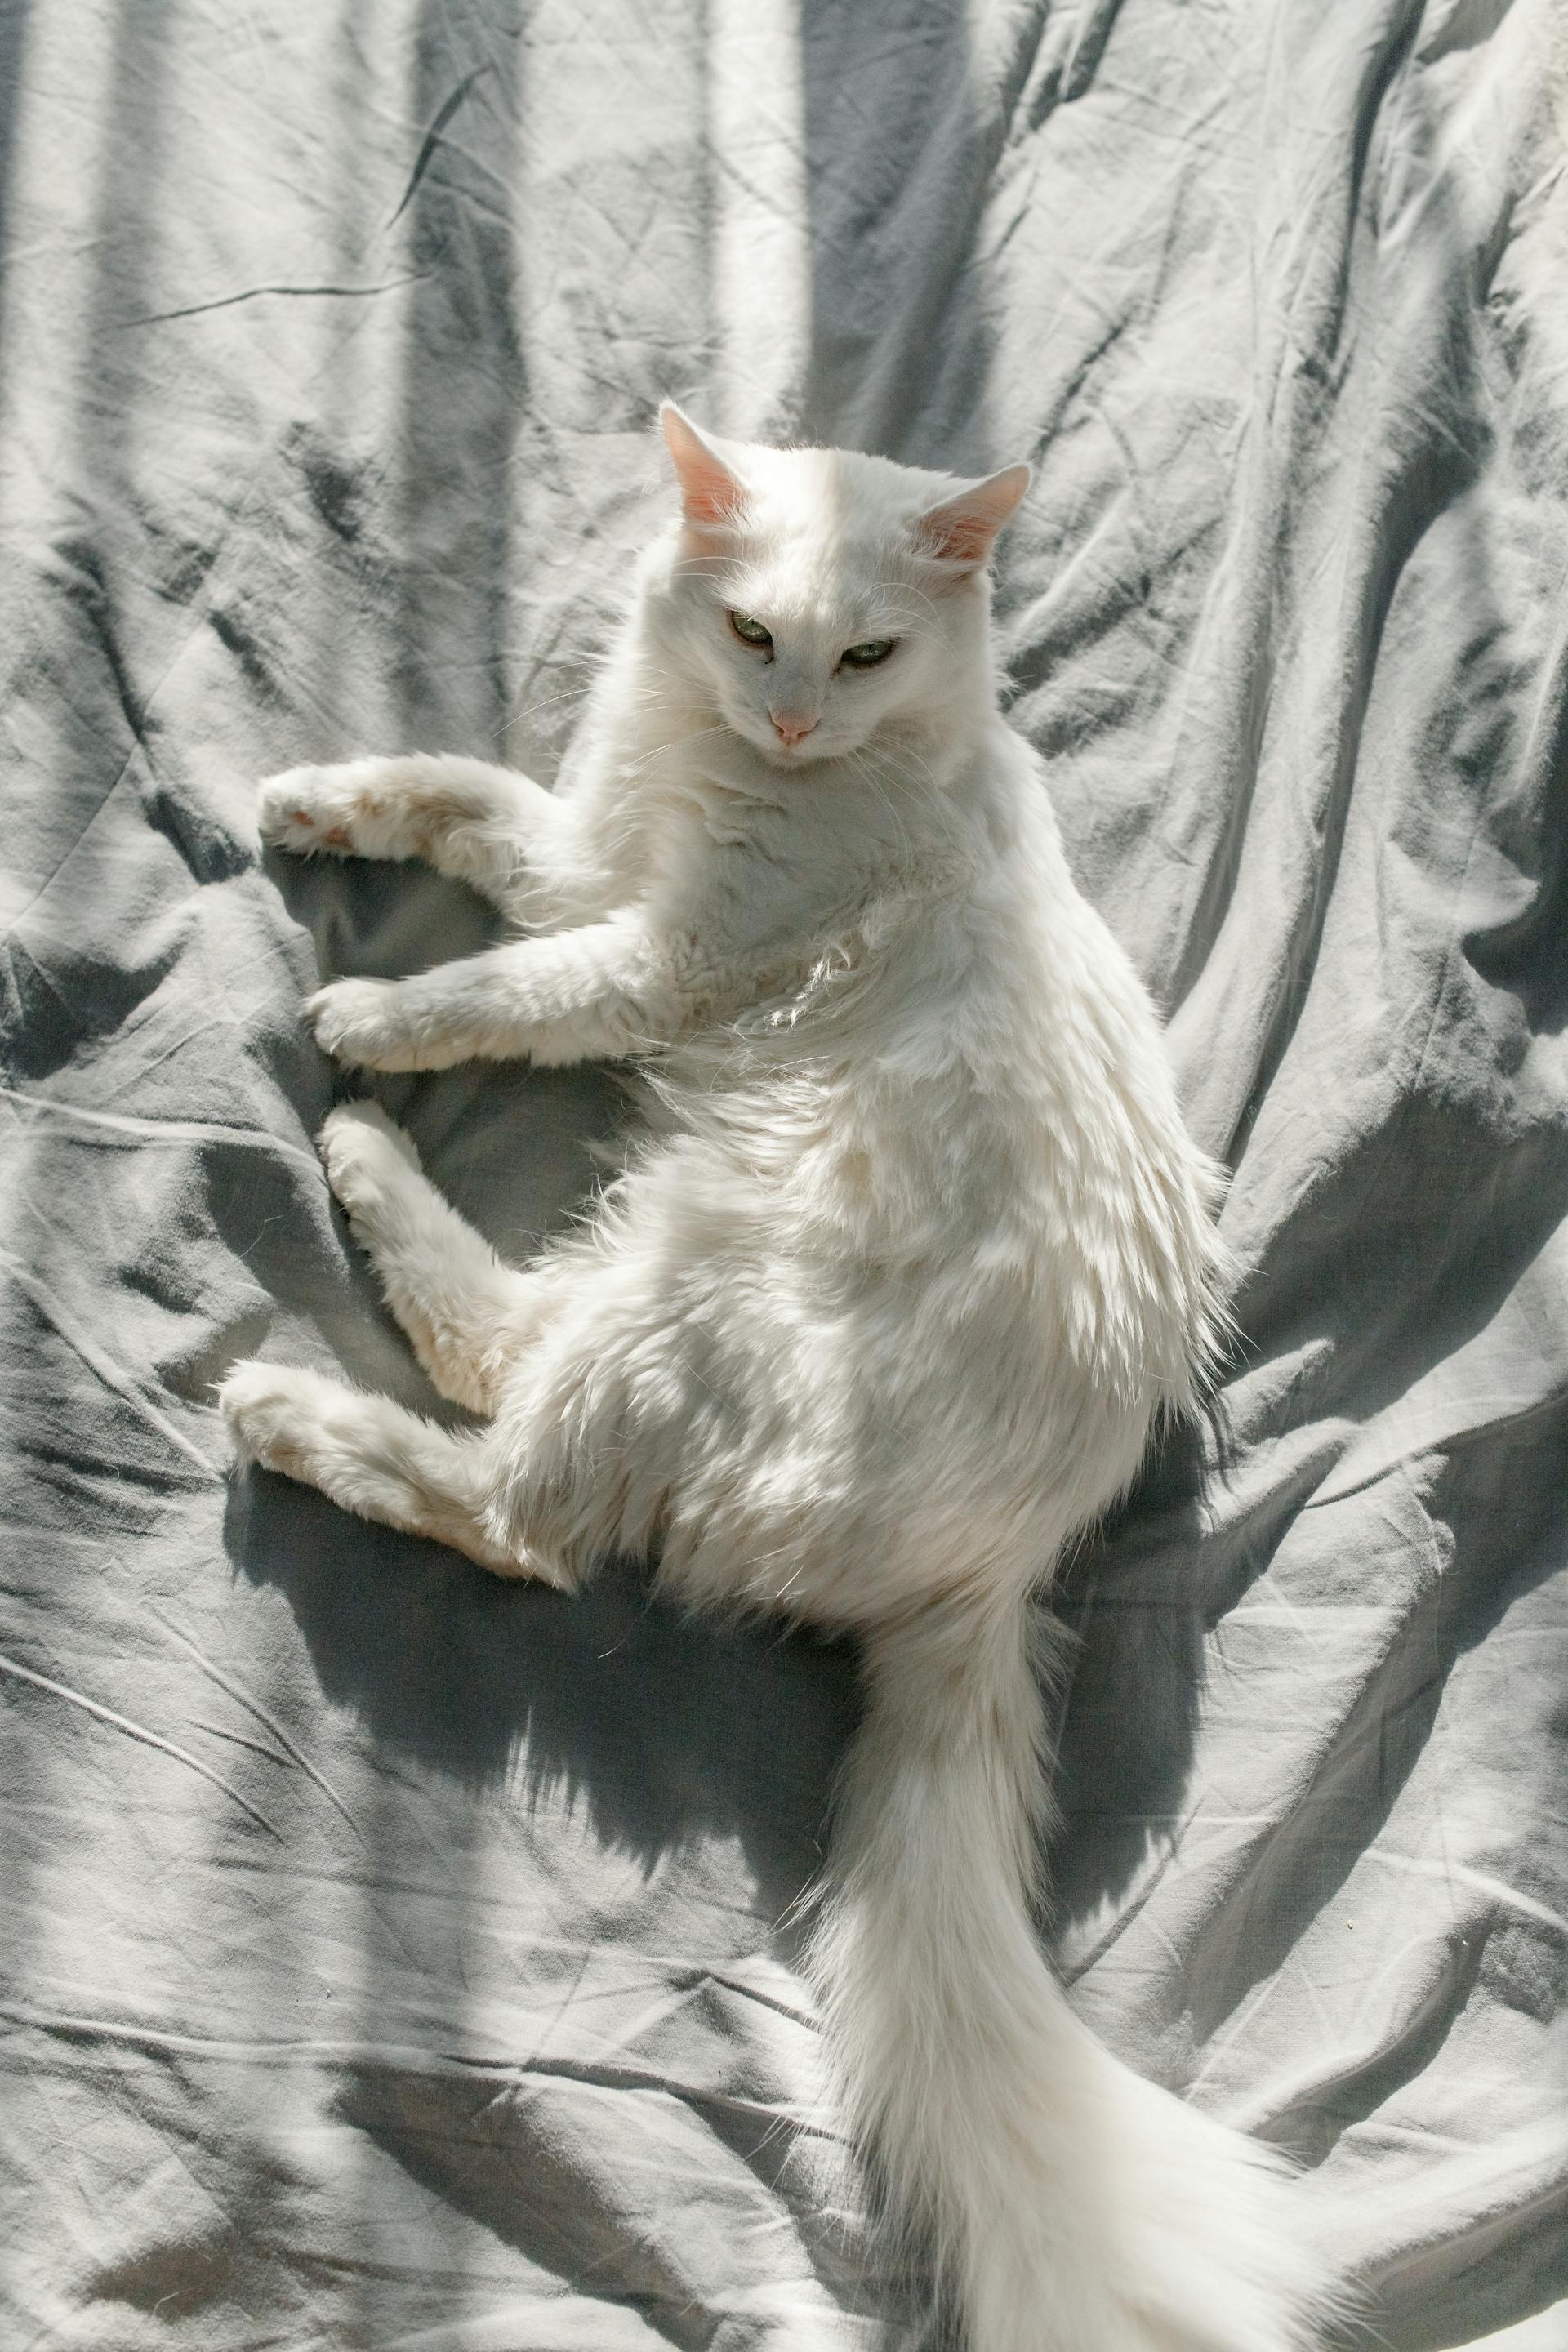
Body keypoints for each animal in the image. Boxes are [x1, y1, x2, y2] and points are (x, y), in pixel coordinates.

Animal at [220, 409, 1335, 2352]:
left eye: (868, 655)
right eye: (753, 635)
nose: (799, 720)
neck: (737, 767)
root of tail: (1002, 1569)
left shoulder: (659, 952)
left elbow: (499, 983)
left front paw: (368, 1012)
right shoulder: (599, 853)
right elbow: (460, 792)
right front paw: (308, 801)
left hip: (683, 1284)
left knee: (515, 1494)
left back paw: (326, 1266)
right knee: (509, 1408)